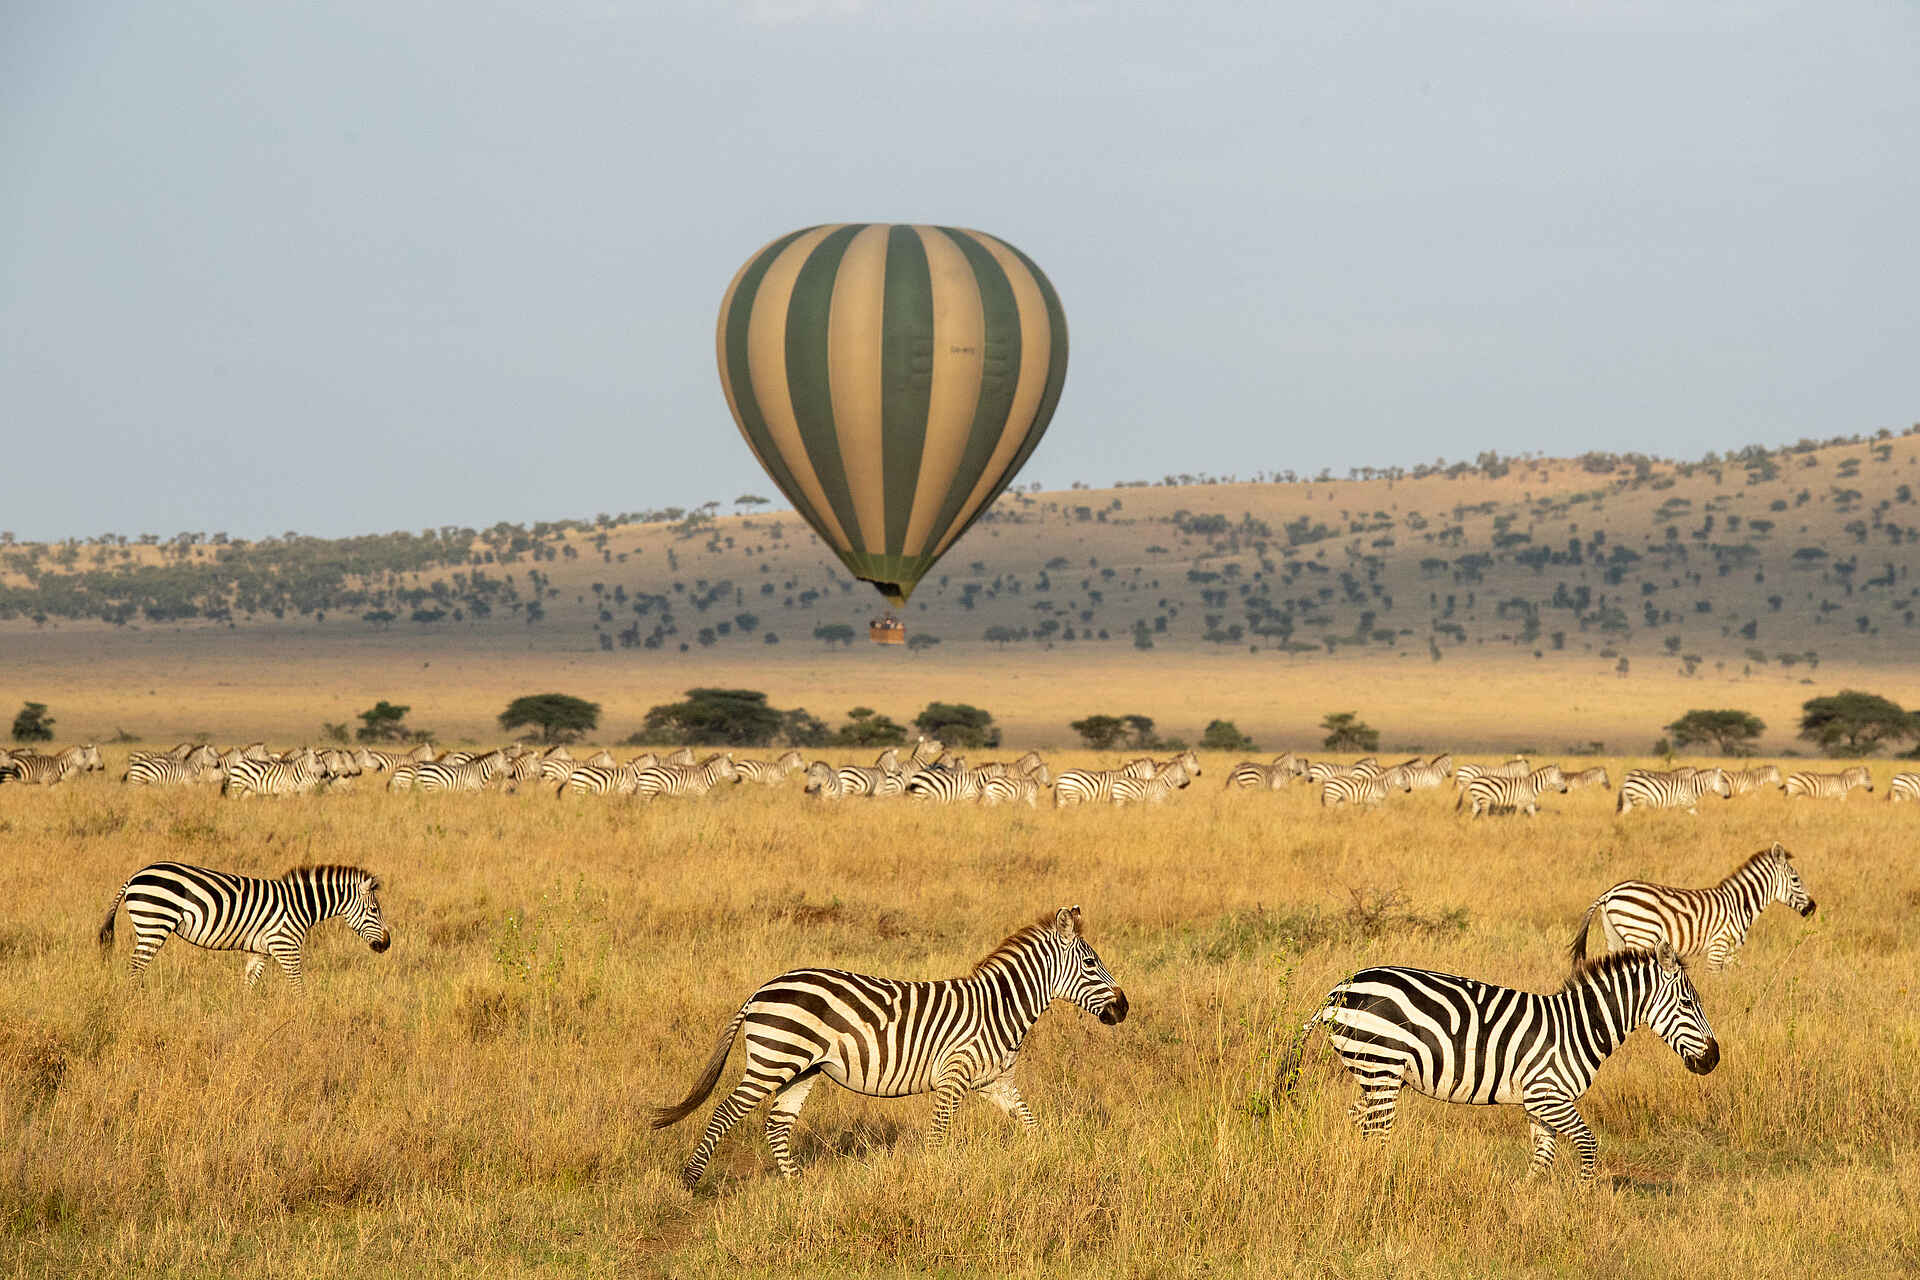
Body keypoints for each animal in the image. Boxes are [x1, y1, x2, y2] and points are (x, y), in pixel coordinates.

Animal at [98, 861, 390, 992]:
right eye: (374, 911)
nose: (387, 944)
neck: (299, 906)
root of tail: (135, 875)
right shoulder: (286, 946)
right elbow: (298, 987)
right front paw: (303, 1016)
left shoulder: (259, 951)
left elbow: (249, 985)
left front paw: (245, 1015)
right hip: (154, 923)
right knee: (136, 966)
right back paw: (137, 1000)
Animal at [653, 905, 1127, 1186]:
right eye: (1090, 963)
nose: (1124, 1007)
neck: (1000, 1007)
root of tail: (761, 990)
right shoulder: (953, 1076)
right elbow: (938, 1135)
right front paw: (936, 1181)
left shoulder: (996, 1082)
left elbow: (1031, 1124)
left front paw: (1046, 1159)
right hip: (774, 1059)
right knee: (725, 1113)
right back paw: (691, 1182)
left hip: (801, 1067)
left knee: (778, 1123)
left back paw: (797, 1188)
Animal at [1275, 943, 1718, 1184]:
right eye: (1687, 1003)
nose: (1713, 1059)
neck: (1578, 1027)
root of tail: (1338, 989)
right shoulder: (1549, 1096)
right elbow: (1588, 1143)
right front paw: (1584, 1198)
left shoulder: (1540, 1103)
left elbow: (1543, 1157)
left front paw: (1529, 1203)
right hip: (1381, 1067)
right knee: (1377, 1134)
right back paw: (1379, 1184)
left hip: (1374, 1073)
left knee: (1359, 1123)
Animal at [1569, 842, 1816, 973]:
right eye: (1796, 880)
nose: (1813, 908)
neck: (1740, 904)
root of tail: (1610, 892)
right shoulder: (1719, 944)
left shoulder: (1731, 950)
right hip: (1640, 934)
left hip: (1615, 937)